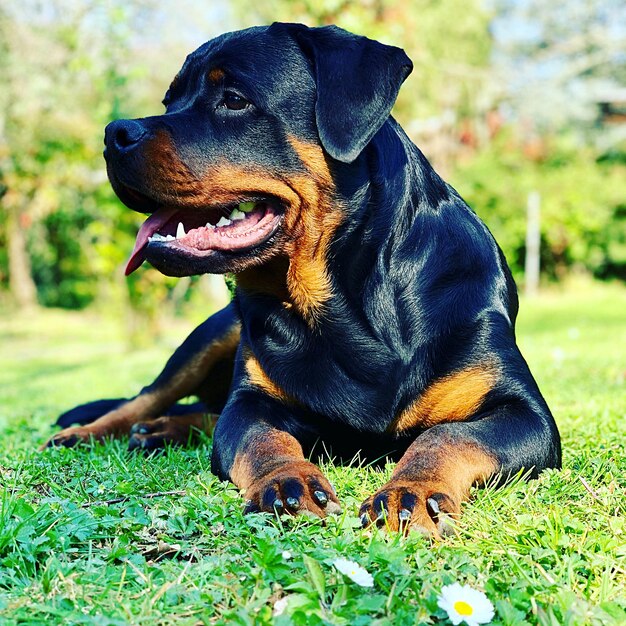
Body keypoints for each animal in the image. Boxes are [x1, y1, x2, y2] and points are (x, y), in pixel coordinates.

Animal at [46, 22, 560, 532]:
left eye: (234, 99)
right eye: (169, 101)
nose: (114, 133)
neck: (349, 304)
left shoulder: (526, 416)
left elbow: (447, 436)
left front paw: (412, 491)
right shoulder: (252, 402)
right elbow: (259, 437)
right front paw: (285, 481)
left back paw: (159, 430)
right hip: (209, 336)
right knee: (151, 399)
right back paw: (94, 431)